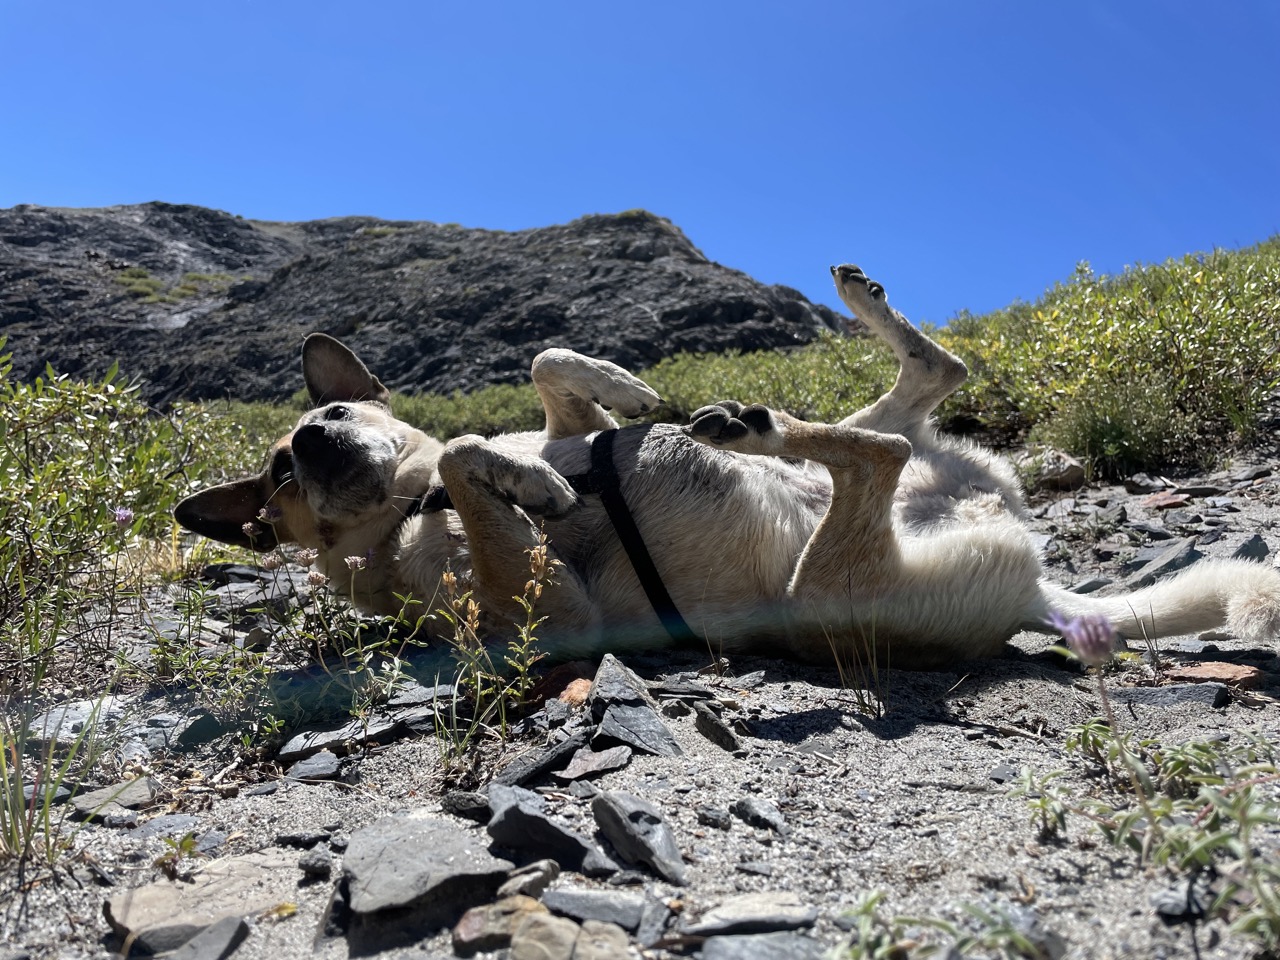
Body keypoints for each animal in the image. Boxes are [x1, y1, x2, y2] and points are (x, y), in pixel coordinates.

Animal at [172, 263, 1280, 670]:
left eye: (329, 412)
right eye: (280, 480)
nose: (314, 445)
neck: (409, 505)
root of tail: (1034, 590)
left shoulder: (543, 421)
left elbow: (545, 371)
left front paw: (618, 389)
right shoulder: (542, 616)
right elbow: (468, 446)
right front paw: (539, 485)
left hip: (924, 449)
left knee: (935, 374)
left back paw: (828, 335)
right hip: (828, 583)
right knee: (872, 455)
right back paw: (754, 429)